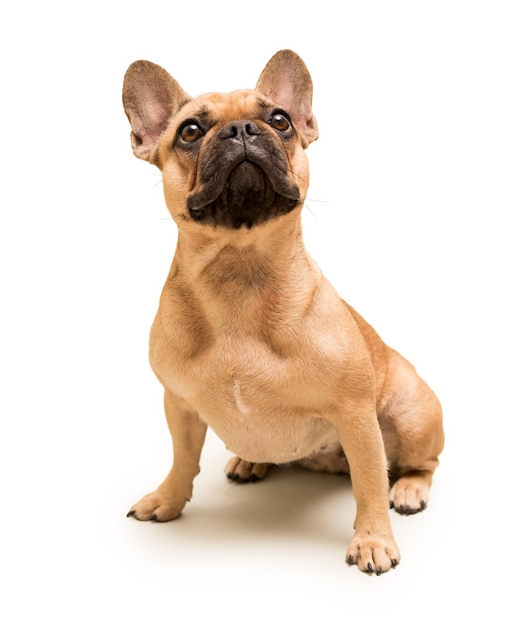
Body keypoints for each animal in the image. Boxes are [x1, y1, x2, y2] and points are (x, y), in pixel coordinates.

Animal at [123, 50, 446, 576]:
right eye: (190, 131)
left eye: (280, 121)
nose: (242, 129)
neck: (239, 270)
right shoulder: (180, 405)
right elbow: (182, 459)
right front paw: (167, 499)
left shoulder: (355, 415)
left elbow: (369, 484)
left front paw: (373, 539)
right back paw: (250, 462)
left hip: (411, 414)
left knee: (419, 464)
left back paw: (410, 488)